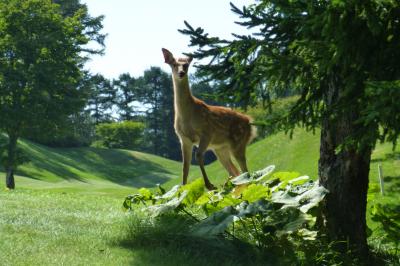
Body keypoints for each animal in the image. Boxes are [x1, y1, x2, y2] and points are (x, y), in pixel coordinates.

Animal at [162, 47, 256, 189]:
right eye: (174, 64)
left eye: (186, 65)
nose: (181, 73)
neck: (187, 116)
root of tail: (250, 122)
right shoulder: (183, 138)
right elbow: (185, 166)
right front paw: (182, 188)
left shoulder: (207, 132)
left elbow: (198, 155)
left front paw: (209, 184)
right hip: (221, 149)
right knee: (235, 172)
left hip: (238, 142)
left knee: (245, 172)